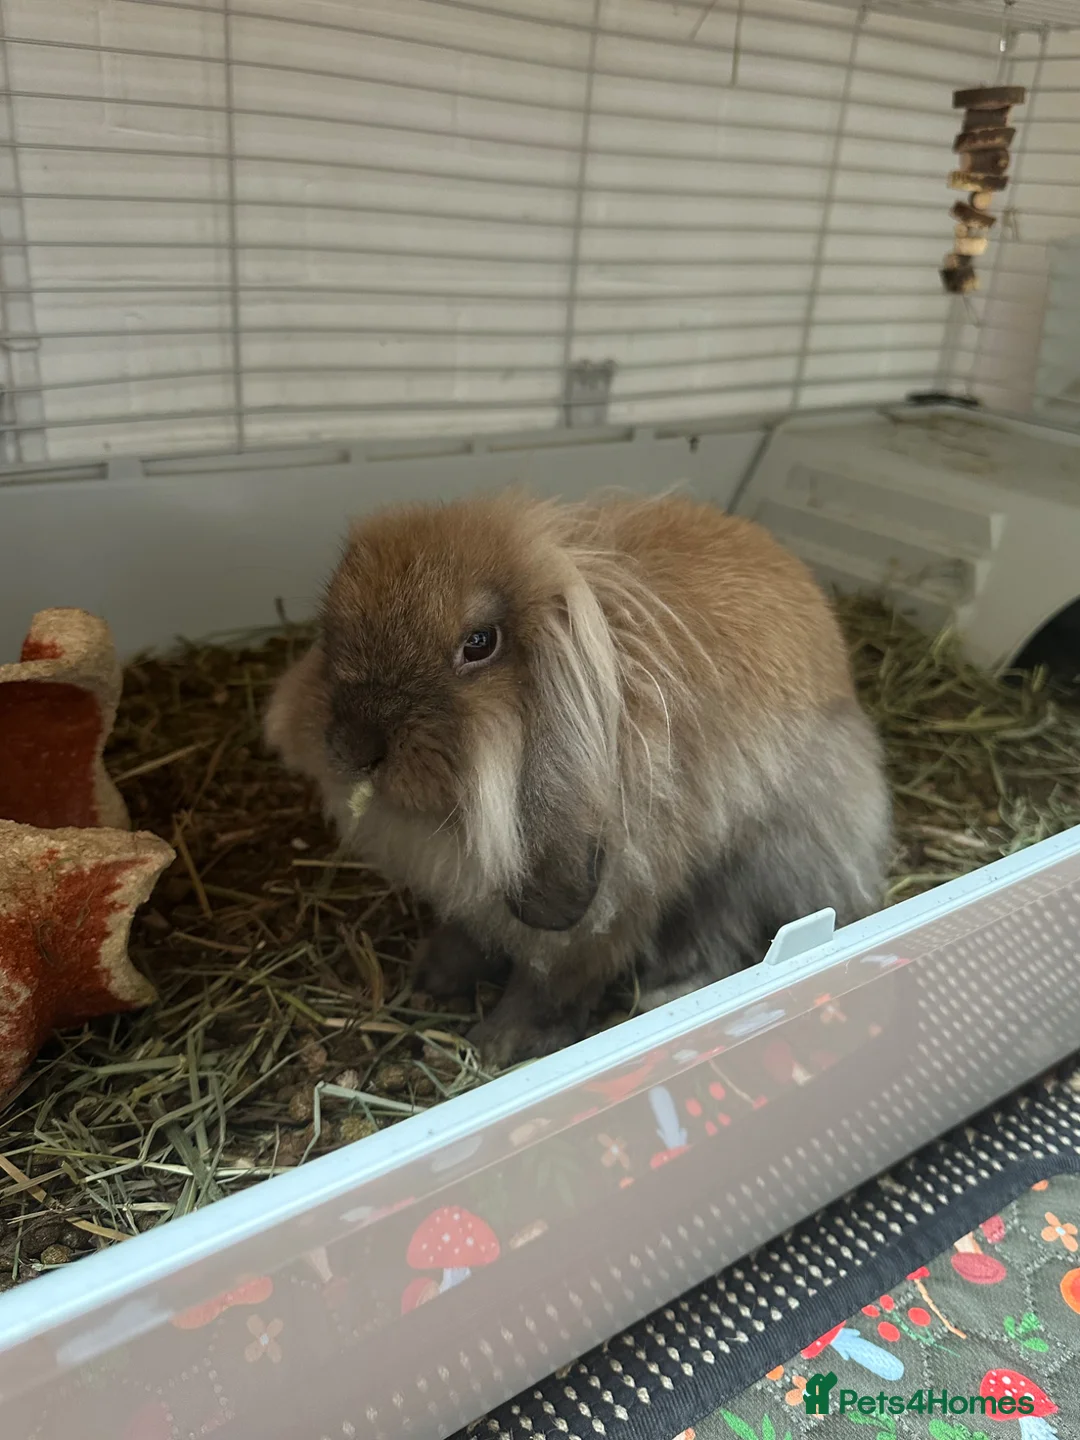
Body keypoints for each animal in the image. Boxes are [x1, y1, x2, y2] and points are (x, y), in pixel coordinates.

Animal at [264, 489, 891, 1069]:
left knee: (721, 938)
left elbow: (548, 987)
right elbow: (471, 933)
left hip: (753, 865)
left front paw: (498, 1045)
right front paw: (433, 974)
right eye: (329, 632)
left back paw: (660, 997)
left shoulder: (594, 917)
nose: (352, 748)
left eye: (479, 643)